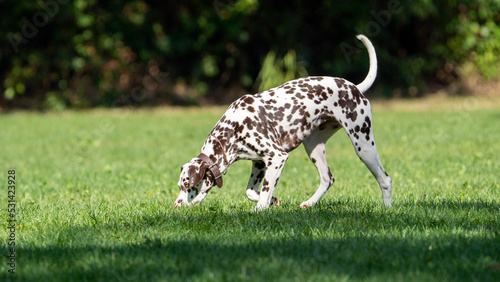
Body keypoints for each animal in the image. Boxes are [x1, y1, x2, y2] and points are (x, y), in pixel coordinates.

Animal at [175, 34, 390, 210]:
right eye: (180, 186)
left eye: (187, 185)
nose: (176, 205)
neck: (233, 129)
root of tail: (354, 87)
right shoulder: (259, 163)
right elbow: (251, 192)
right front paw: (273, 200)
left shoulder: (277, 157)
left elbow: (263, 193)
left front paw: (262, 207)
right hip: (313, 148)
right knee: (327, 179)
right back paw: (309, 203)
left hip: (363, 146)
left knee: (385, 179)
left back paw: (386, 209)